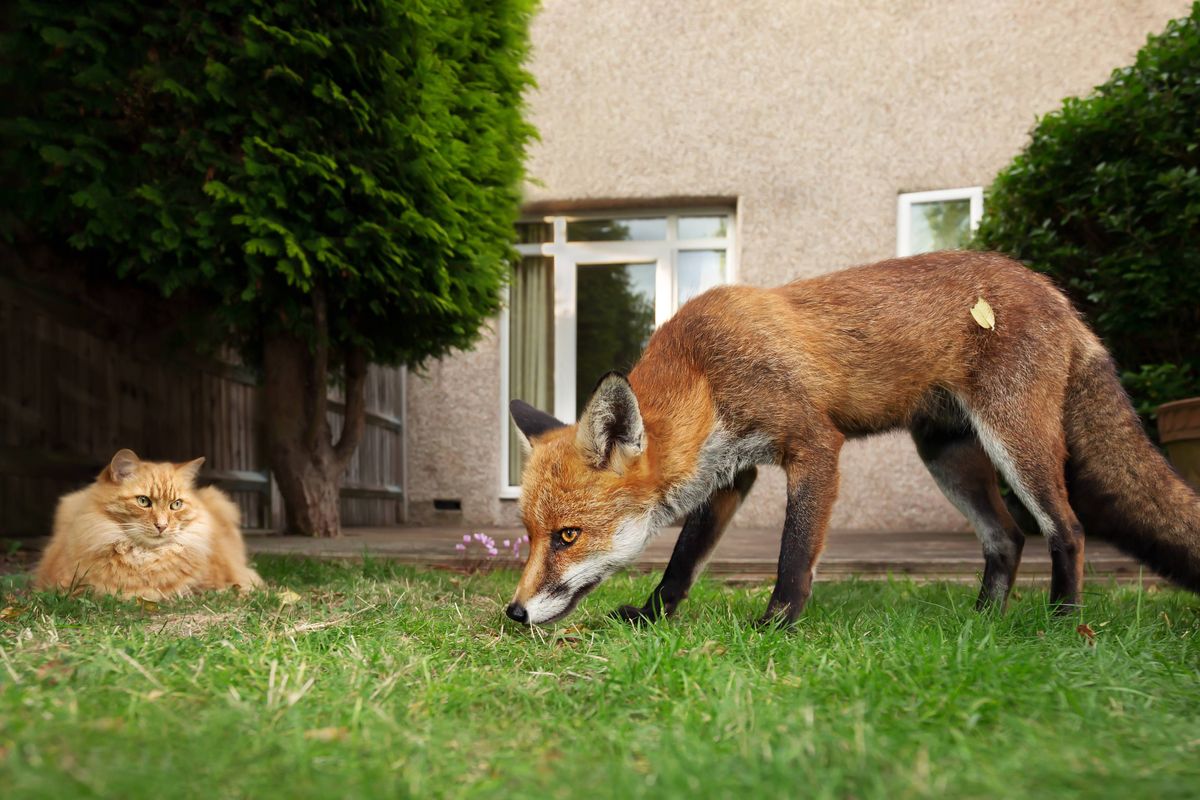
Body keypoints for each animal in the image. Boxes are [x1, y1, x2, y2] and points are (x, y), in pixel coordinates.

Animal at [504, 250, 1200, 627]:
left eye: (568, 537)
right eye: (531, 536)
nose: (514, 612)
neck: (705, 370)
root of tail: (1058, 294)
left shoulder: (813, 445)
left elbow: (793, 553)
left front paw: (777, 624)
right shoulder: (731, 473)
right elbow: (683, 561)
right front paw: (652, 617)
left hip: (1015, 441)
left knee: (1067, 529)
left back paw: (1060, 623)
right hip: (947, 457)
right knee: (1006, 538)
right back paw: (983, 624)